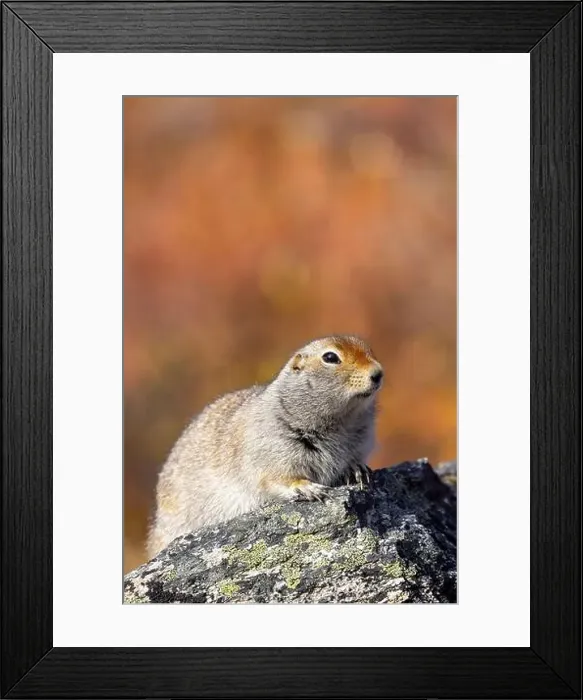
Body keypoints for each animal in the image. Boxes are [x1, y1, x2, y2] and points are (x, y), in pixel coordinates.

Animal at [146, 335, 383, 559]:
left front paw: (356, 470)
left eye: (370, 350)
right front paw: (308, 488)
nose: (378, 373)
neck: (340, 422)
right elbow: (275, 478)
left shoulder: (360, 441)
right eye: (330, 357)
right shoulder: (273, 449)